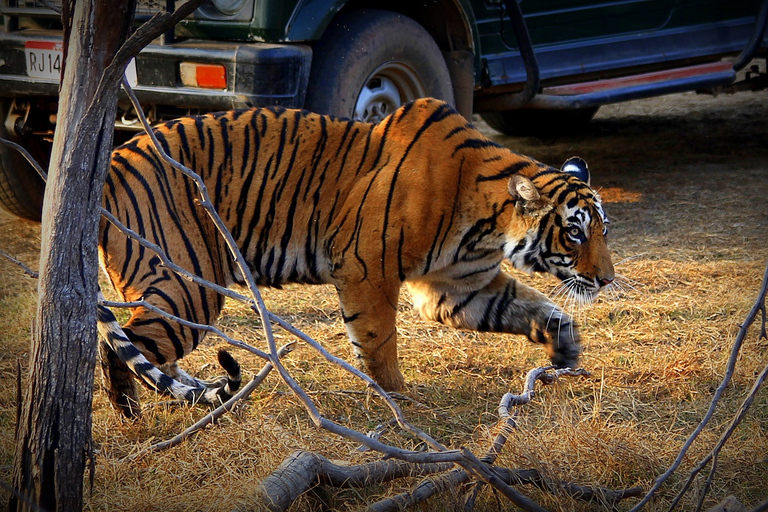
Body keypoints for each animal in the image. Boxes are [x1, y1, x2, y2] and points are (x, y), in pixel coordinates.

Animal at [96, 98, 616, 418]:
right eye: (574, 232)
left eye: (603, 230)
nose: (608, 280)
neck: (487, 227)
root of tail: (113, 160)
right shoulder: (368, 267)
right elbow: (377, 340)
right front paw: (401, 401)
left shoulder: (460, 288)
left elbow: (533, 309)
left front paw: (565, 349)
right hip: (190, 285)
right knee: (119, 345)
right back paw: (130, 416)